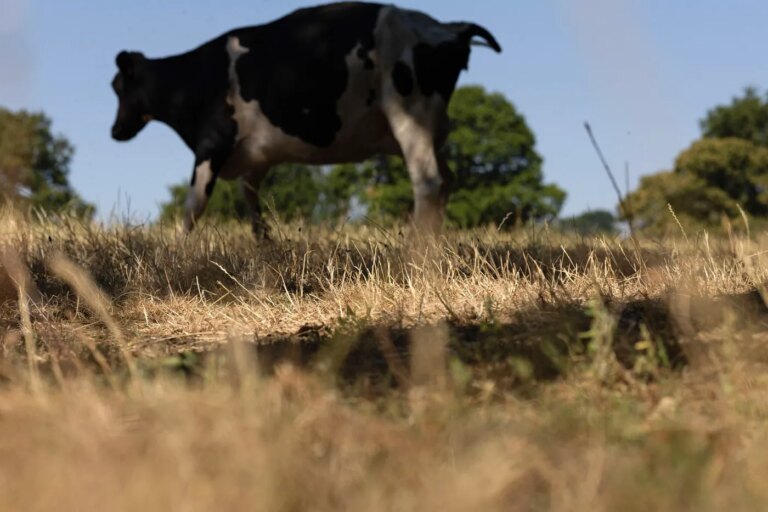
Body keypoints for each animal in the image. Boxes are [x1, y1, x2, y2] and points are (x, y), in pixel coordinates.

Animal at [111, 2, 501, 236]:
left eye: (117, 86)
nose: (115, 131)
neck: (192, 79)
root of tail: (447, 27)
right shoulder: (255, 159)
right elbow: (253, 208)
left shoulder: (211, 144)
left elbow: (193, 209)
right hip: (430, 130)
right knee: (447, 181)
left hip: (409, 116)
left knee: (429, 182)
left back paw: (415, 256)